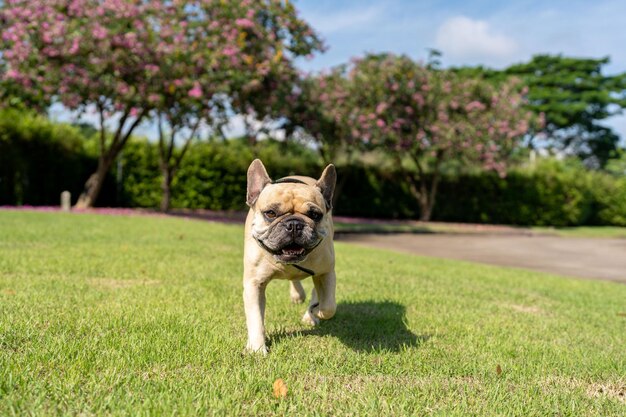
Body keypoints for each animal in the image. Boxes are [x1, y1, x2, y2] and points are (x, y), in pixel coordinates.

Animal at [241, 158, 334, 352]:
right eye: (270, 213)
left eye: (315, 215)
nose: (294, 224)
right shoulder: (254, 284)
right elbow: (255, 318)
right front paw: (257, 348)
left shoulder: (327, 271)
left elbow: (328, 306)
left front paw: (317, 311)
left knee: (316, 291)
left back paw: (310, 313)